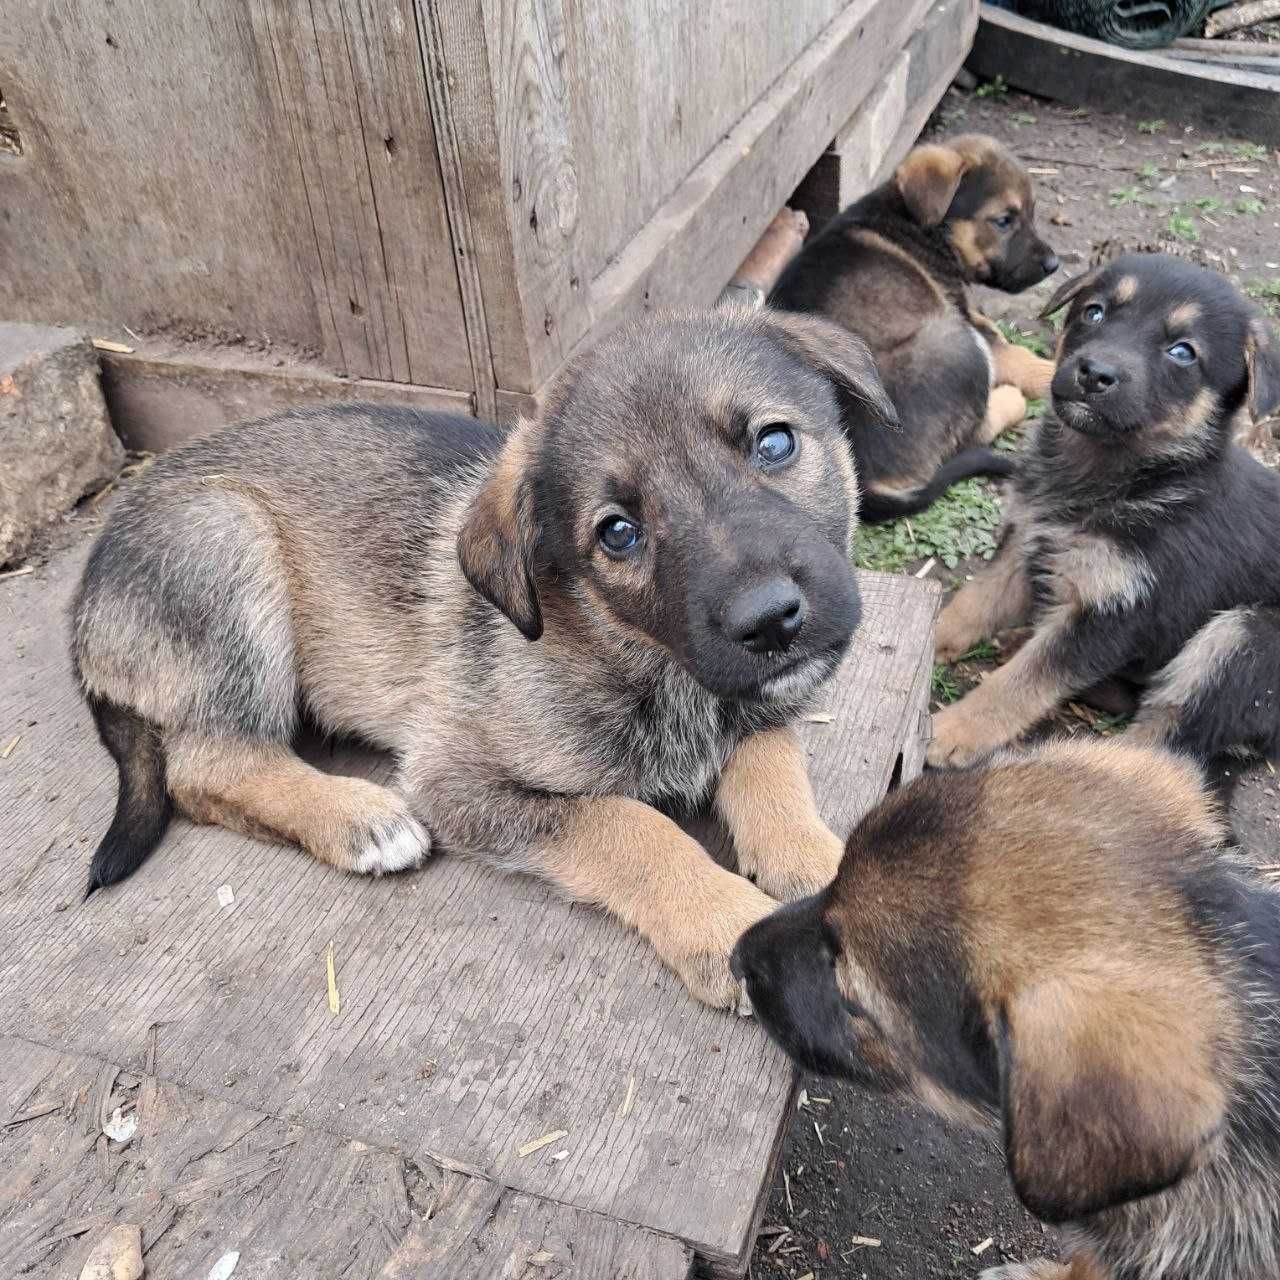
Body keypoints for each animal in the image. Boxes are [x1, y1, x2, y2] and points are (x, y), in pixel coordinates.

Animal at [67, 307, 890, 1008]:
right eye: (618, 533)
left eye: (774, 444)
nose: (771, 622)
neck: (642, 659)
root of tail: (84, 605)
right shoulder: (458, 778)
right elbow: (630, 826)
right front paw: (725, 923)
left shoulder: (757, 703)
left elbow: (774, 768)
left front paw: (825, 866)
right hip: (224, 539)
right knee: (205, 766)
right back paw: (358, 819)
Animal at [768, 135, 1059, 519]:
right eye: (1003, 221)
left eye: (1031, 213)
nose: (1054, 264)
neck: (921, 225)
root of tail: (862, 480)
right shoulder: (963, 318)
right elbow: (1015, 353)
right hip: (957, 345)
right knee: (973, 434)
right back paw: (1011, 398)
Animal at [926, 254, 1280, 762]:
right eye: (1095, 312)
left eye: (1183, 352)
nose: (1094, 373)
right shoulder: (1027, 541)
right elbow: (972, 604)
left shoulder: (1116, 613)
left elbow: (1021, 684)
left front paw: (953, 730)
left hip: (1244, 637)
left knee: (1164, 741)